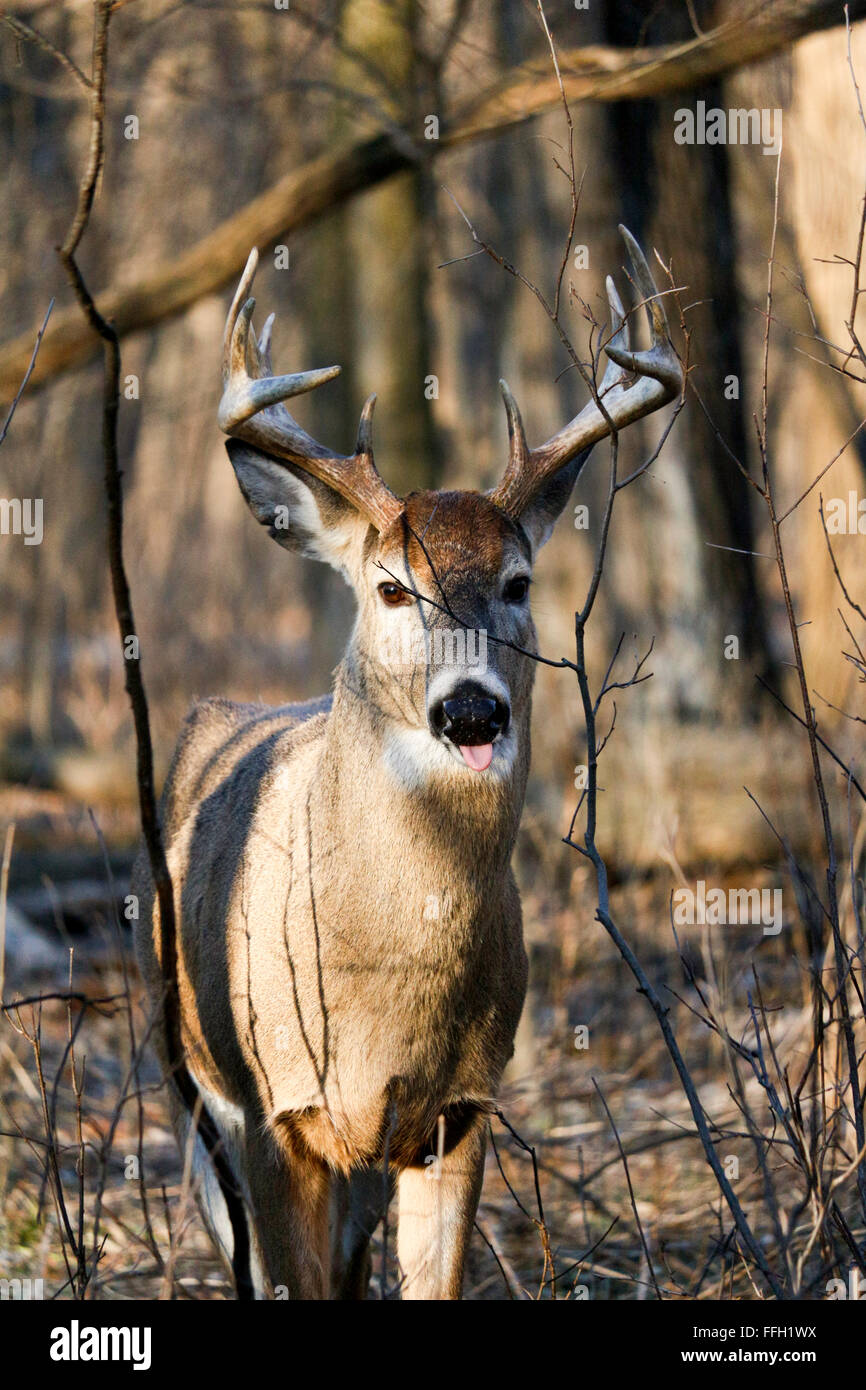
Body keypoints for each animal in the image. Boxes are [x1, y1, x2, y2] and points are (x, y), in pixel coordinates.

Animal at [132, 226, 681, 1300]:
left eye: (519, 582)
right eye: (389, 587)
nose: (470, 707)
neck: (382, 992)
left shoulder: (459, 1110)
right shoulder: (274, 1110)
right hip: (189, 1086)